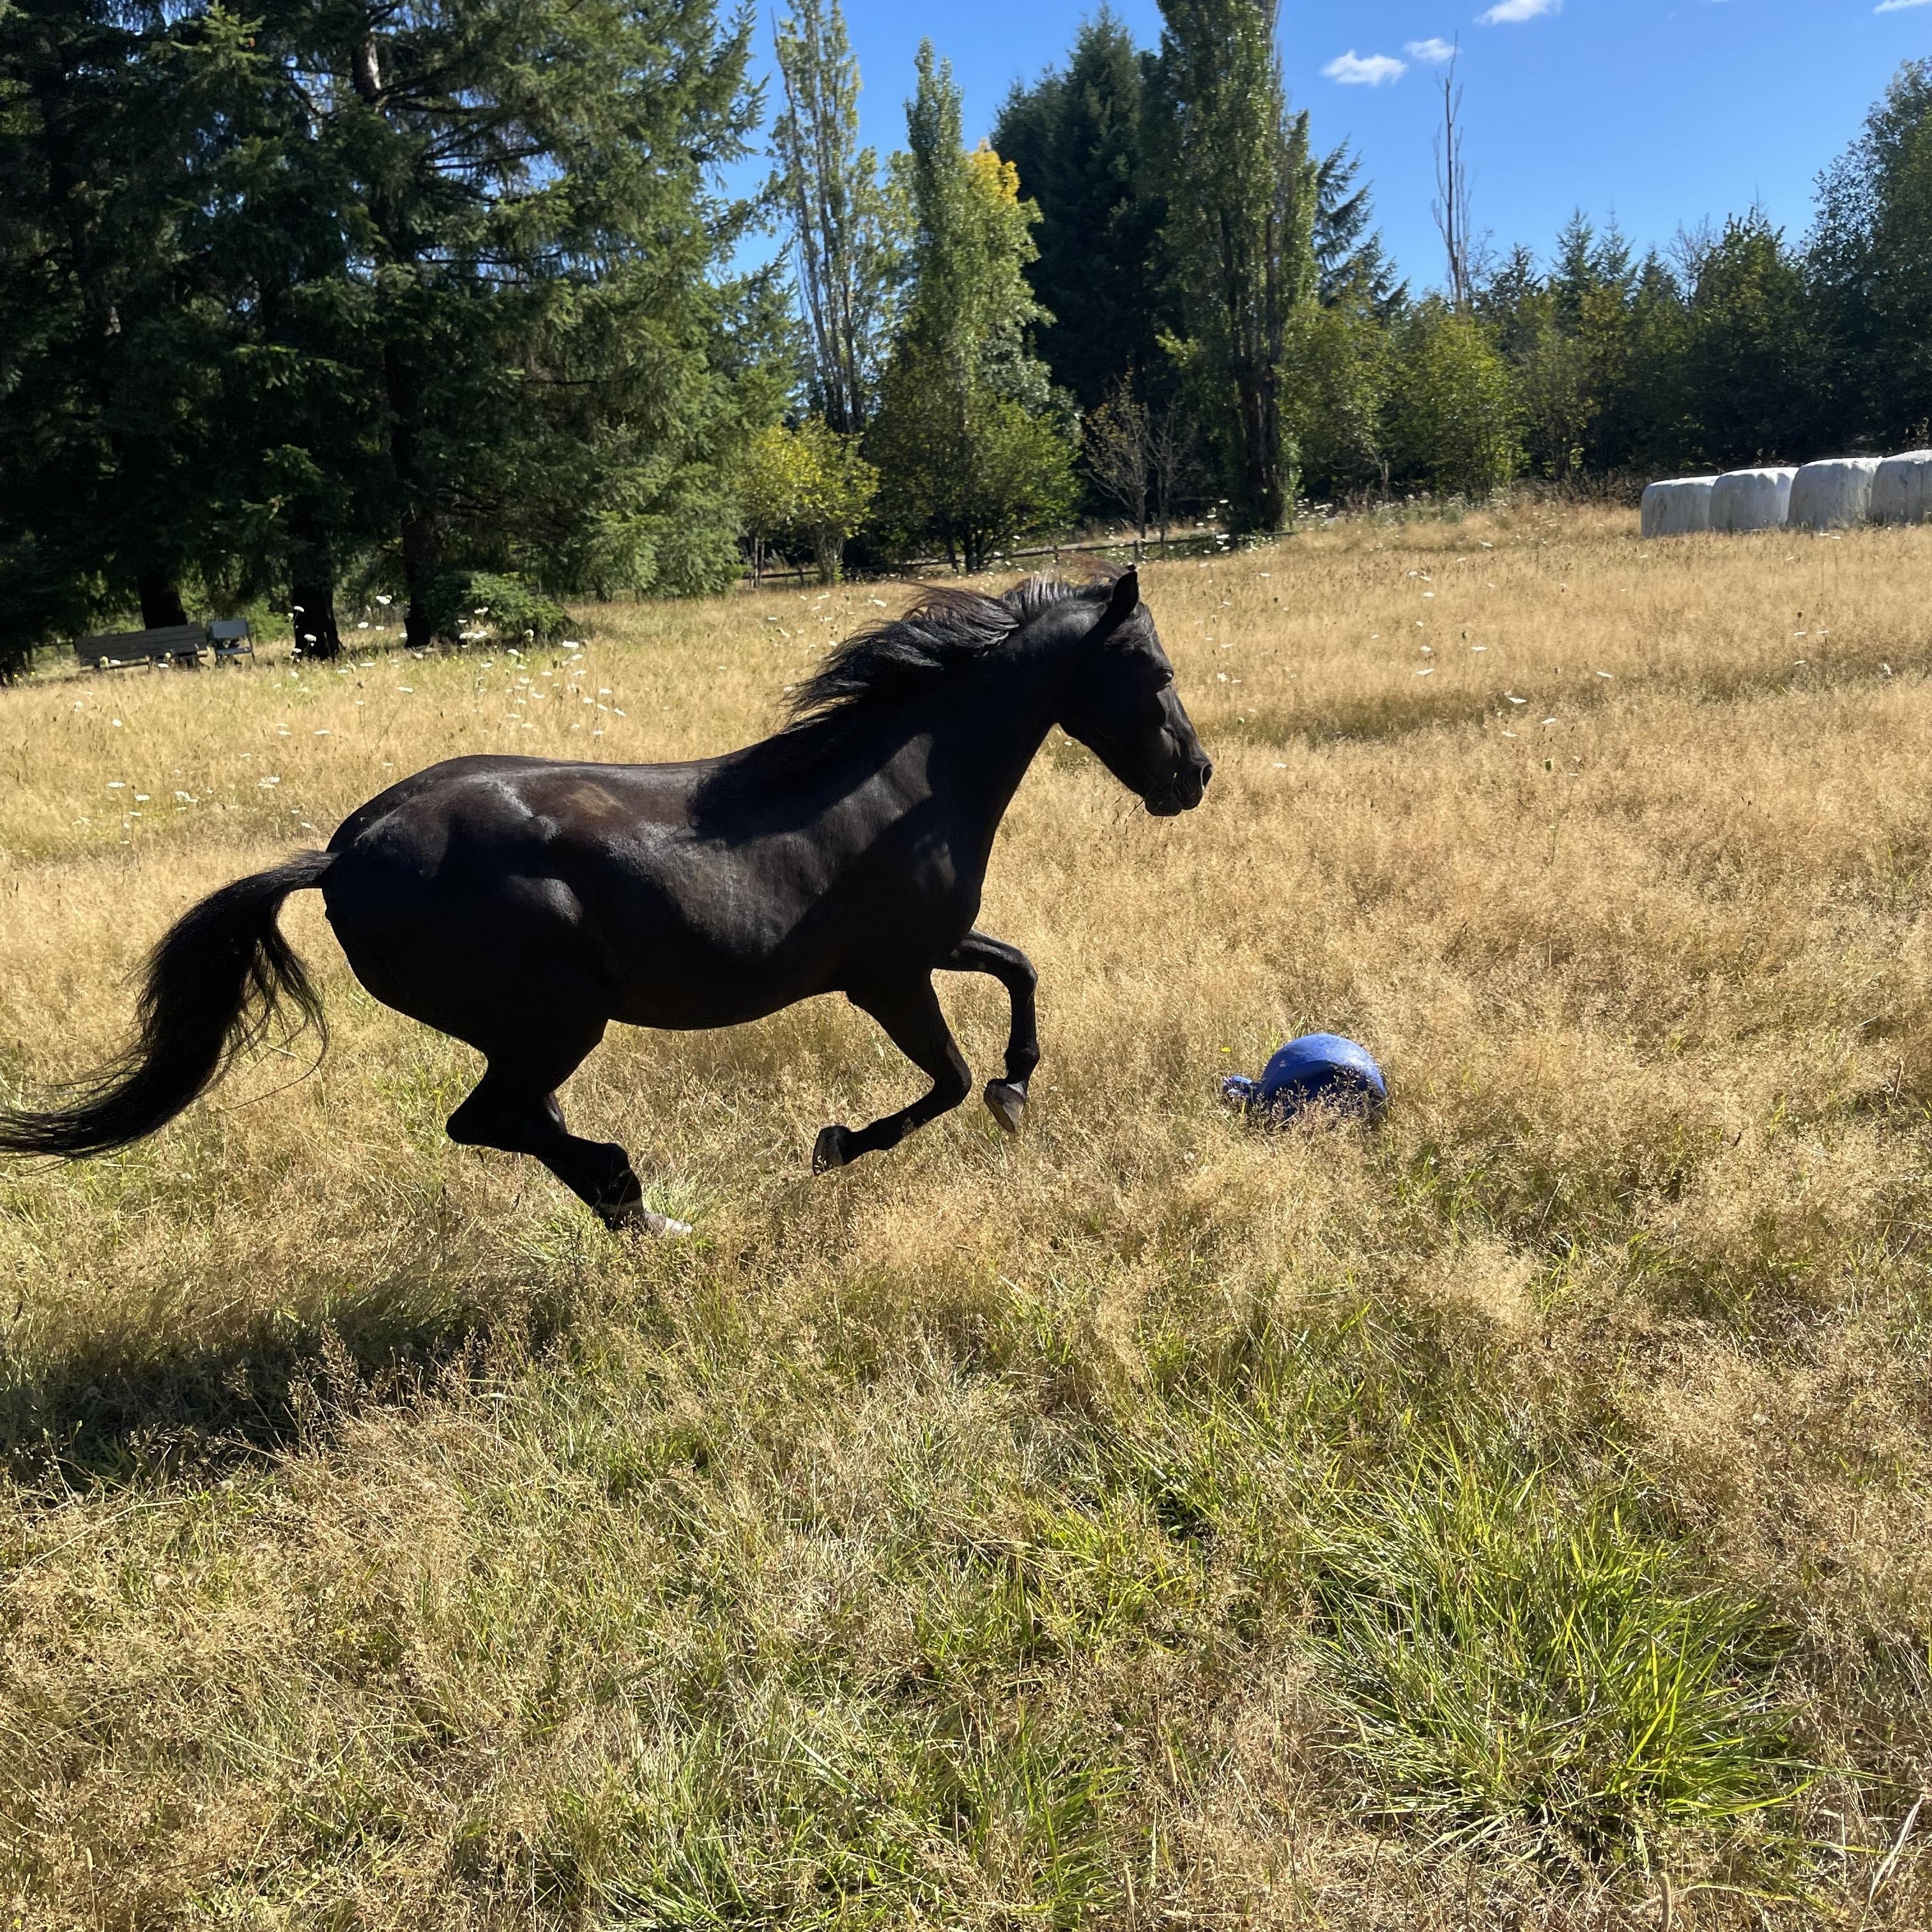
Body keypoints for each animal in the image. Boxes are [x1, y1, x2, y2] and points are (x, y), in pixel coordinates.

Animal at [0, 567, 1211, 1231]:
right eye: (1152, 673)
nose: (1192, 778)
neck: (902, 779)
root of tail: (340, 855)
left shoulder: (935, 944)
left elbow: (1020, 973)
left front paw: (1018, 1088)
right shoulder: (885, 975)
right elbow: (945, 1079)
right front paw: (836, 1145)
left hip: (535, 1030)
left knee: (516, 1122)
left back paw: (633, 1206)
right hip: (554, 1019)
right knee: (490, 1120)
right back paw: (642, 1203)